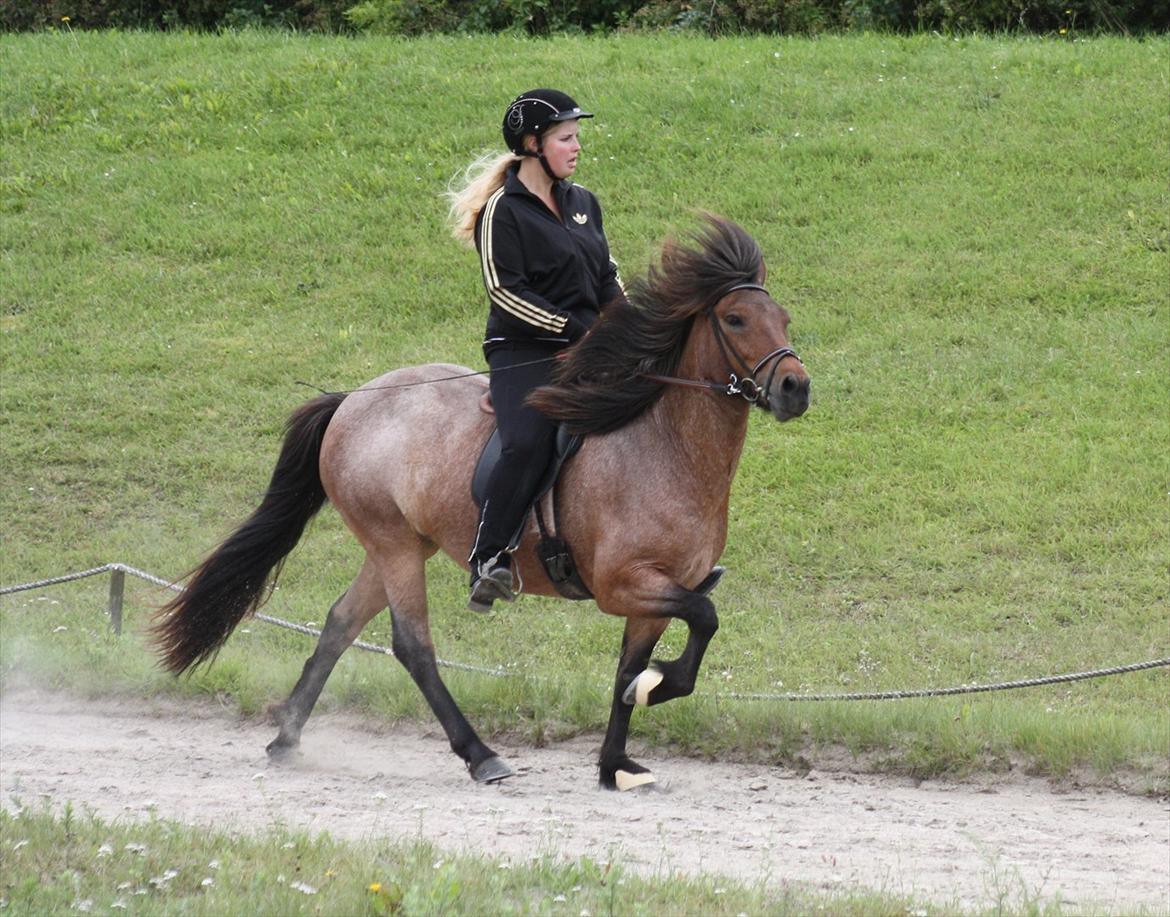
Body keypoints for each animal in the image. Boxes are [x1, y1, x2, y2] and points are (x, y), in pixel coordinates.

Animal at [155, 215, 809, 785]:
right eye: (736, 318)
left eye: (783, 316)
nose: (795, 388)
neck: (666, 447)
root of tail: (352, 400)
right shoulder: (624, 584)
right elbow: (705, 616)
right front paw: (658, 687)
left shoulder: (654, 595)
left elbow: (638, 661)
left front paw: (616, 762)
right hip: (395, 546)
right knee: (412, 646)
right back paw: (479, 755)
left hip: (399, 544)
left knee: (341, 623)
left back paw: (287, 737)